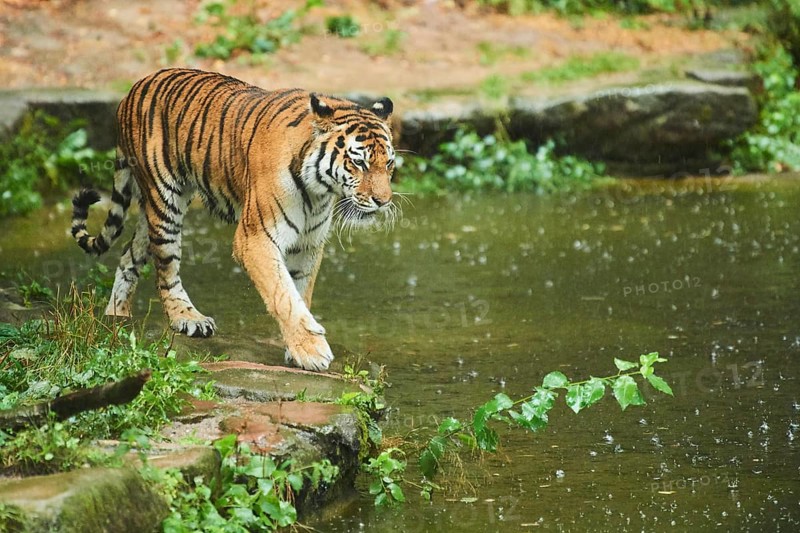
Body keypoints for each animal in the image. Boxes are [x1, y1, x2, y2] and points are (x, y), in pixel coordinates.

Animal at [71, 68, 396, 372]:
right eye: (358, 162)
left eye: (389, 164)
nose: (383, 201)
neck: (318, 191)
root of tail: (134, 87)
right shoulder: (256, 239)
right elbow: (284, 295)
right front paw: (311, 351)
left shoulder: (309, 244)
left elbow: (301, 293)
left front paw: (297, 348)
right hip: (165, 200)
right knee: (166, 269)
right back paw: (188, 318)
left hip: (152, 208)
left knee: (129, 256)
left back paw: (117, 318)